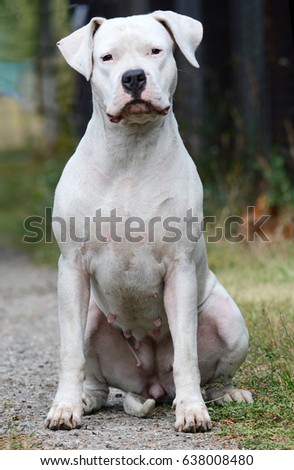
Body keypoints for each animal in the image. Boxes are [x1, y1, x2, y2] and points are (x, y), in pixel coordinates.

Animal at [46, 9, 253, 434]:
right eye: (106, 57)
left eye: (155, 51)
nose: (133, 77)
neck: (130, 151)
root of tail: (152, 383)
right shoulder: (72, 268)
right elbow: (70, 352)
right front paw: (64, 407)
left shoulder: (179, 269)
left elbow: (188, 355)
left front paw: (192, 411)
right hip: (92, 316)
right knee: (96, 376)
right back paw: (86, 400)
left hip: (229, 321)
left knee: (214, 375)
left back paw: (225, 394)